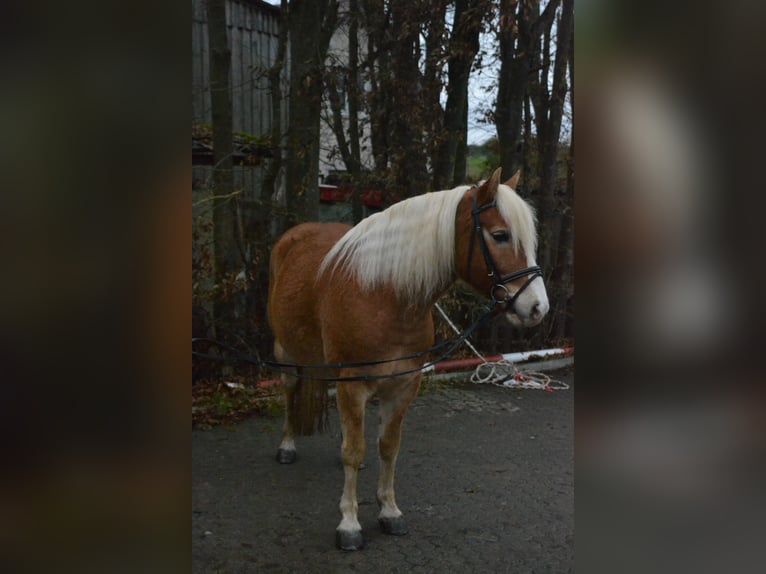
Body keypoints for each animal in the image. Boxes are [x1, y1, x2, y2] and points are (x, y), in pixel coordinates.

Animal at [268, 168, 548, 552]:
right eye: (500, 235)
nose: (538, 308)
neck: (384, 295)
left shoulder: (403, 386)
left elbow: (388, 447)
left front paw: (389, 512)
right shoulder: (354, 385)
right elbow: (354, 451)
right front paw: (349, 524)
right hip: (287, 353)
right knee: (290, 390)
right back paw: (286, 444)